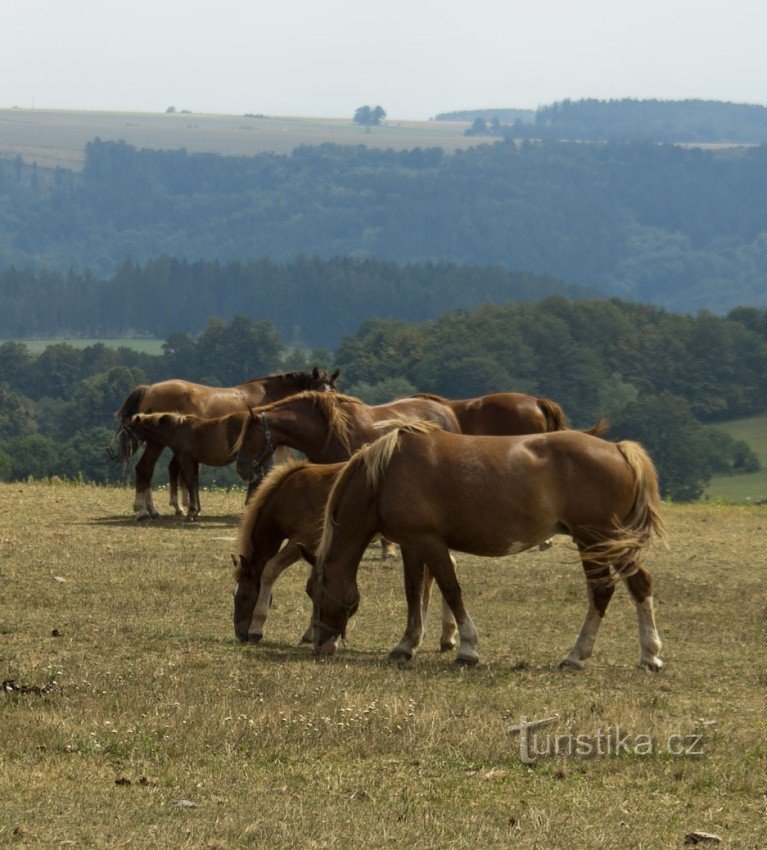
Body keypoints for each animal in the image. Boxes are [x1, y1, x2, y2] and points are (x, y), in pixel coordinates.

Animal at [112, 364, 340, 516]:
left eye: (334, 390)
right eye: (320, 390)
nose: (333, 410)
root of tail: (149, 389)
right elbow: (260, 476)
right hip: (156, 442)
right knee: (144, 469)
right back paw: (143, 510)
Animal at [232, 458, 462, 648]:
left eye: (243, 596)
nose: (240, 634)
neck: (288, 495)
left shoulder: (303, 540)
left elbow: (270, 570)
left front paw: (257, 628)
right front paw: (311, 632)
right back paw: (446, 636)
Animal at [300, 424, 664, 668]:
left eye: (316, 590)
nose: (319, 643)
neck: (388, 473)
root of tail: (618, 449)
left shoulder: (429, 541)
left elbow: (450, 589)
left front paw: (467, 648)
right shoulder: (411, 545)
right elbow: (413, 592)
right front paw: (406, 645)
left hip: (596, 540)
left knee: (607, 590)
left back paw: (579, 655)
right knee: (634, 585)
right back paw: (647, 655)